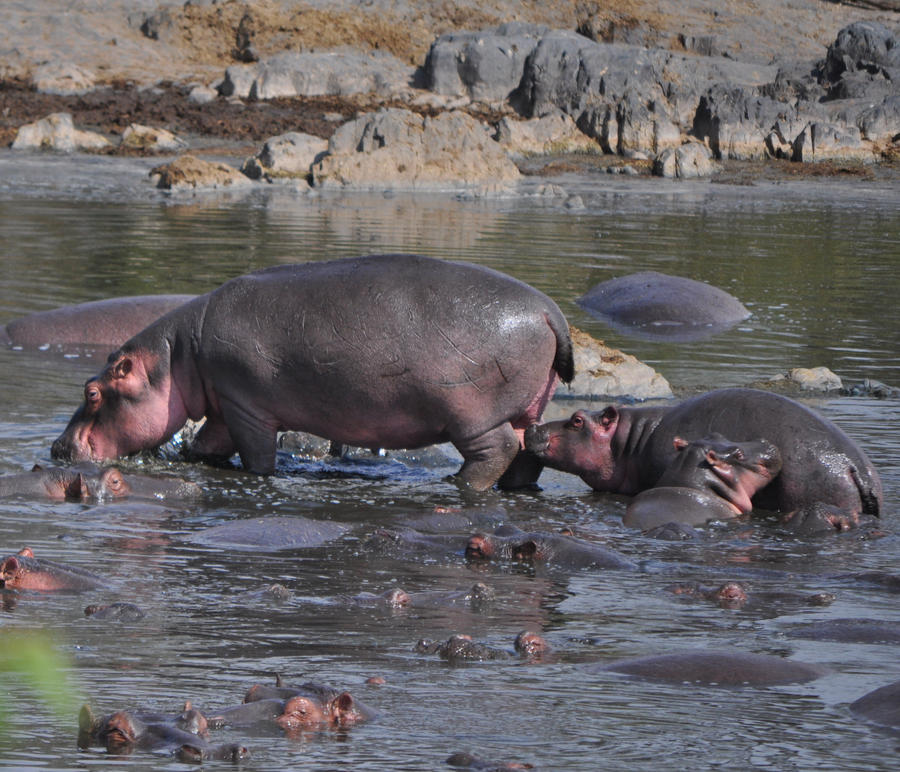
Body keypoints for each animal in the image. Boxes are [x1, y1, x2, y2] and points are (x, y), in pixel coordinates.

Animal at [52, 256, 572, 492]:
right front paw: (196, 460)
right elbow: (207, 444)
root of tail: (551, 312)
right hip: (528, 409)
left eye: (92, 392)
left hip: (472, 414)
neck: (178, 356)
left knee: (495, 451)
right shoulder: (223, 404)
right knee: (526, 451)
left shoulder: (245, 406)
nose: (57, 448)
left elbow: (256, 456)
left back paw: (456, 483)